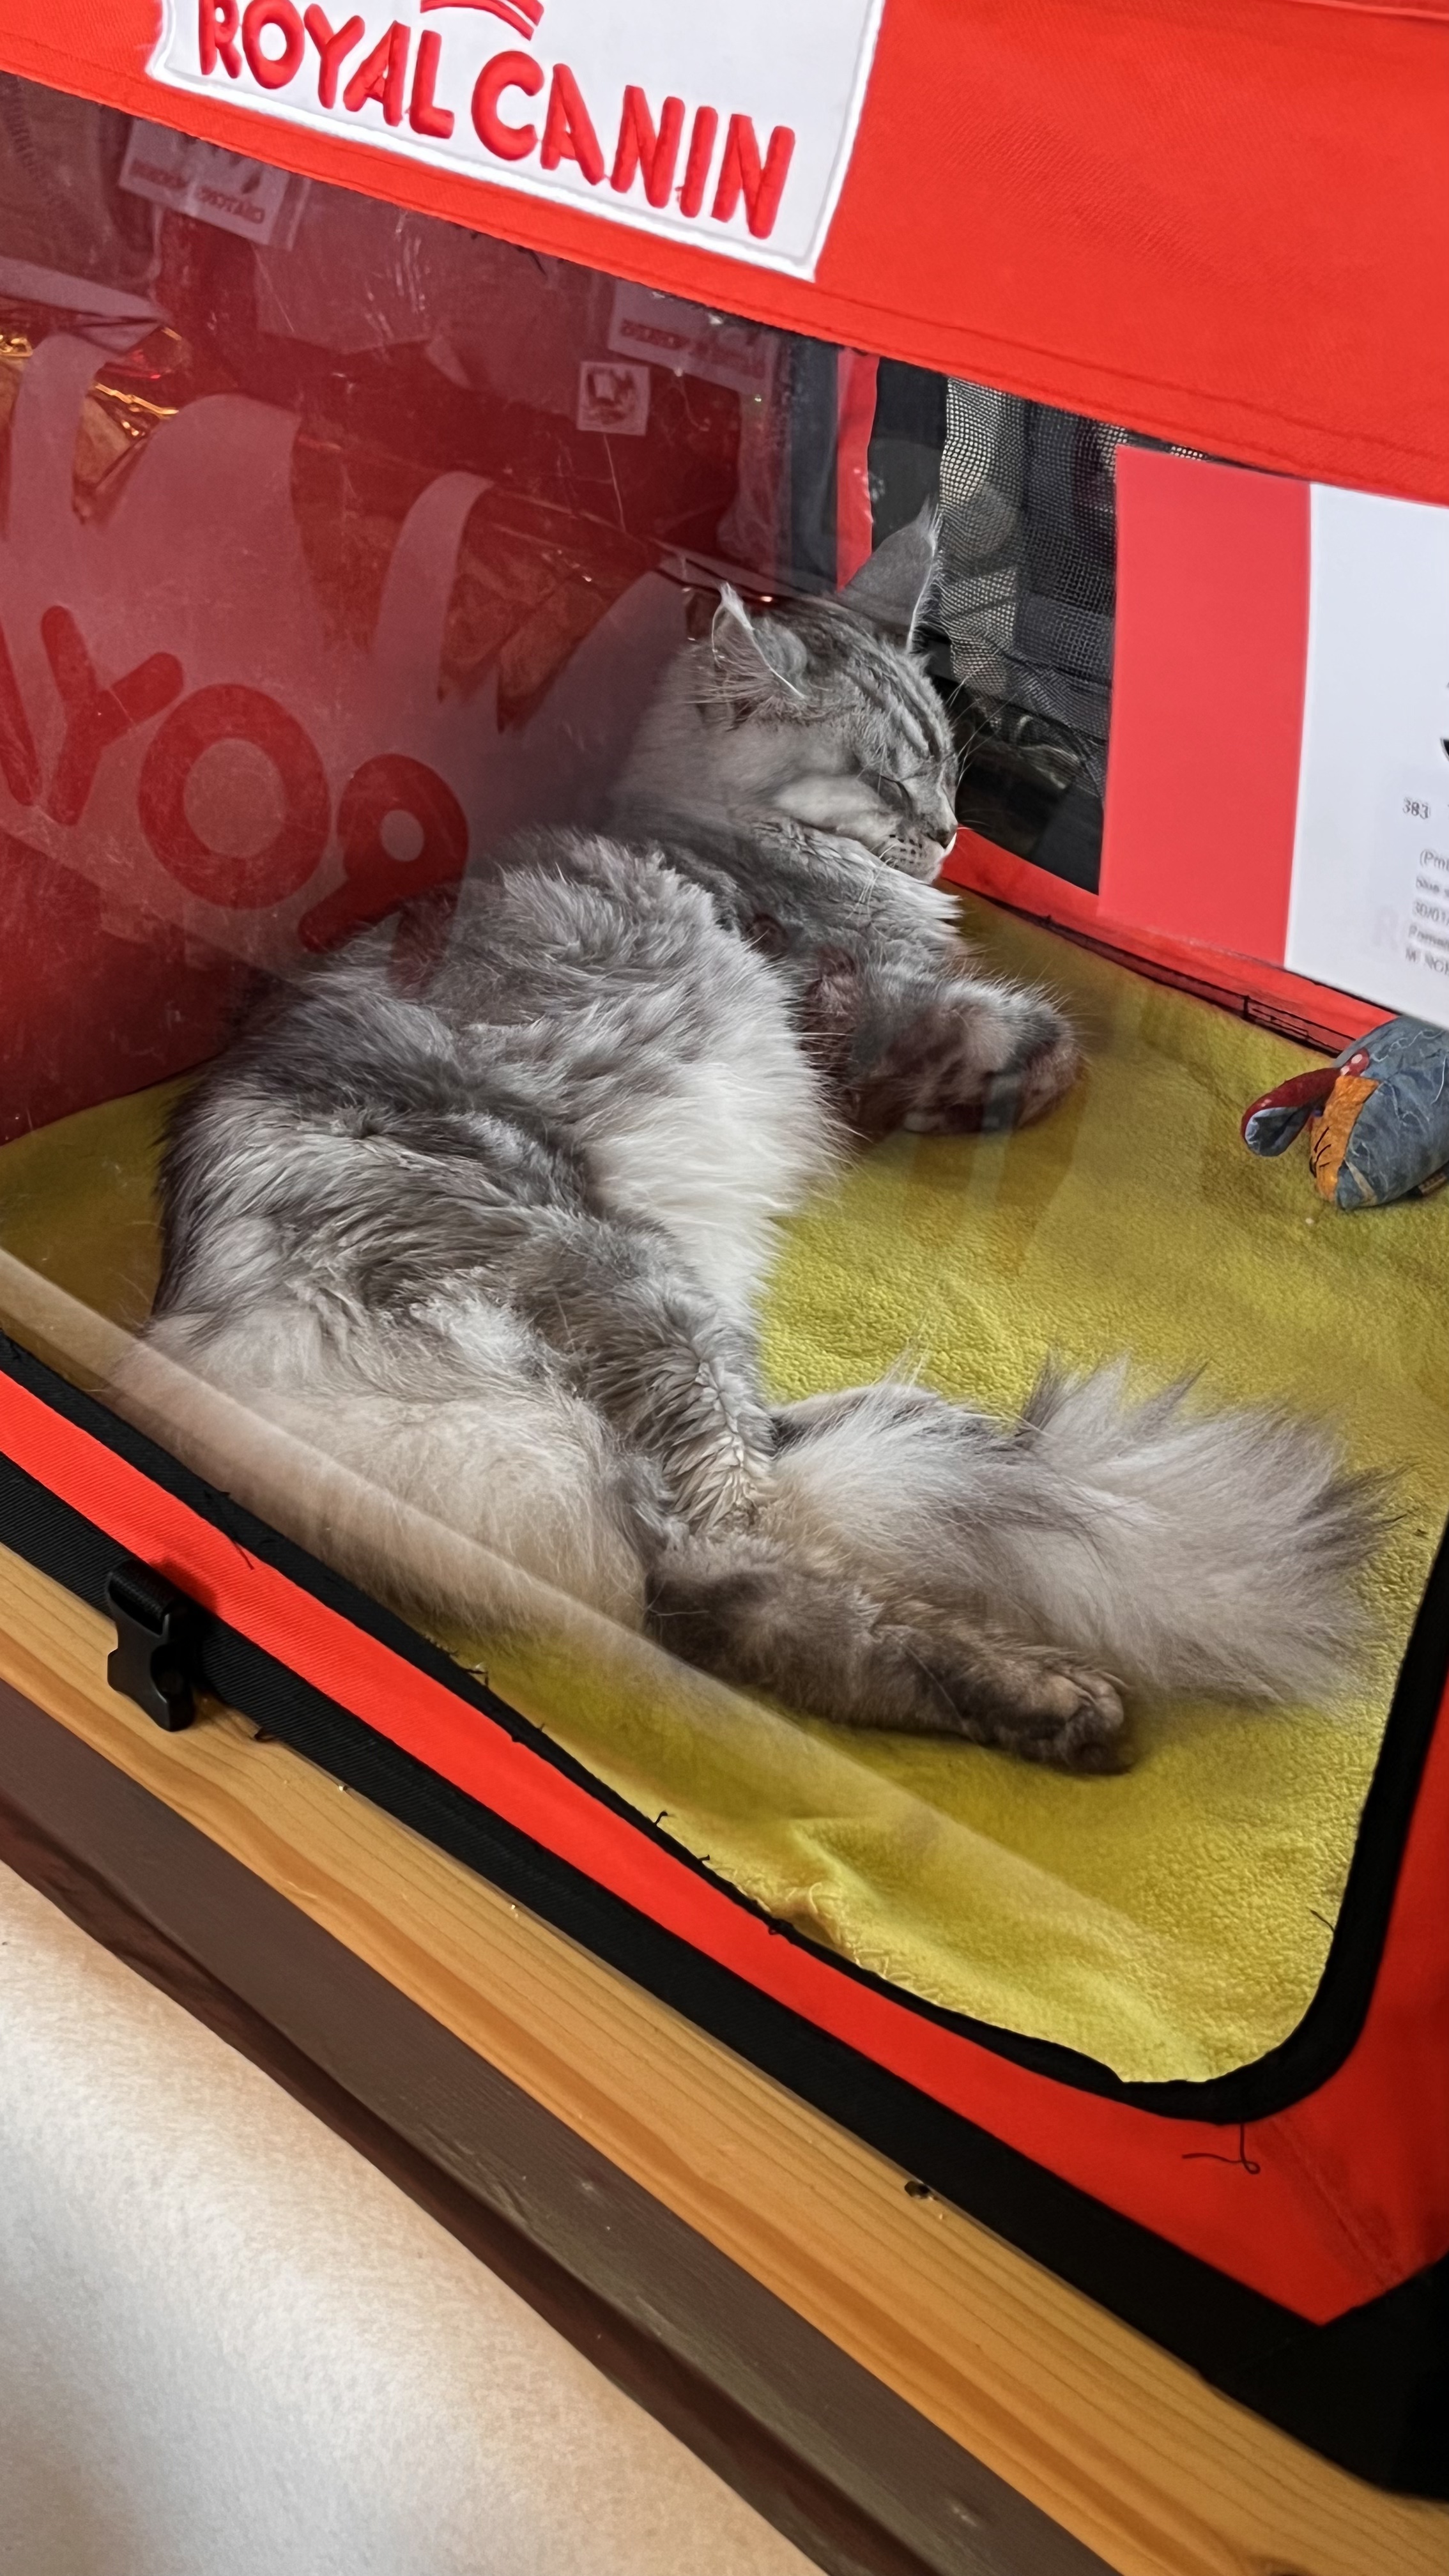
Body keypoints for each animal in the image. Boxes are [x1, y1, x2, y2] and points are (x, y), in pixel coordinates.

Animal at [111, 516, 1378, 1774]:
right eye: (889, 775)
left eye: (945, 763)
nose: (944, 833)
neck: (726, 839)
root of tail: (200, 1336)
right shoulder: (876, 1011)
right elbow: (1043, 1039)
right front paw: (1016, 1058)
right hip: (631, 1293)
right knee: (728, 1572)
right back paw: (1055, 1694)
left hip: (677, 1334)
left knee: (754, 1517)